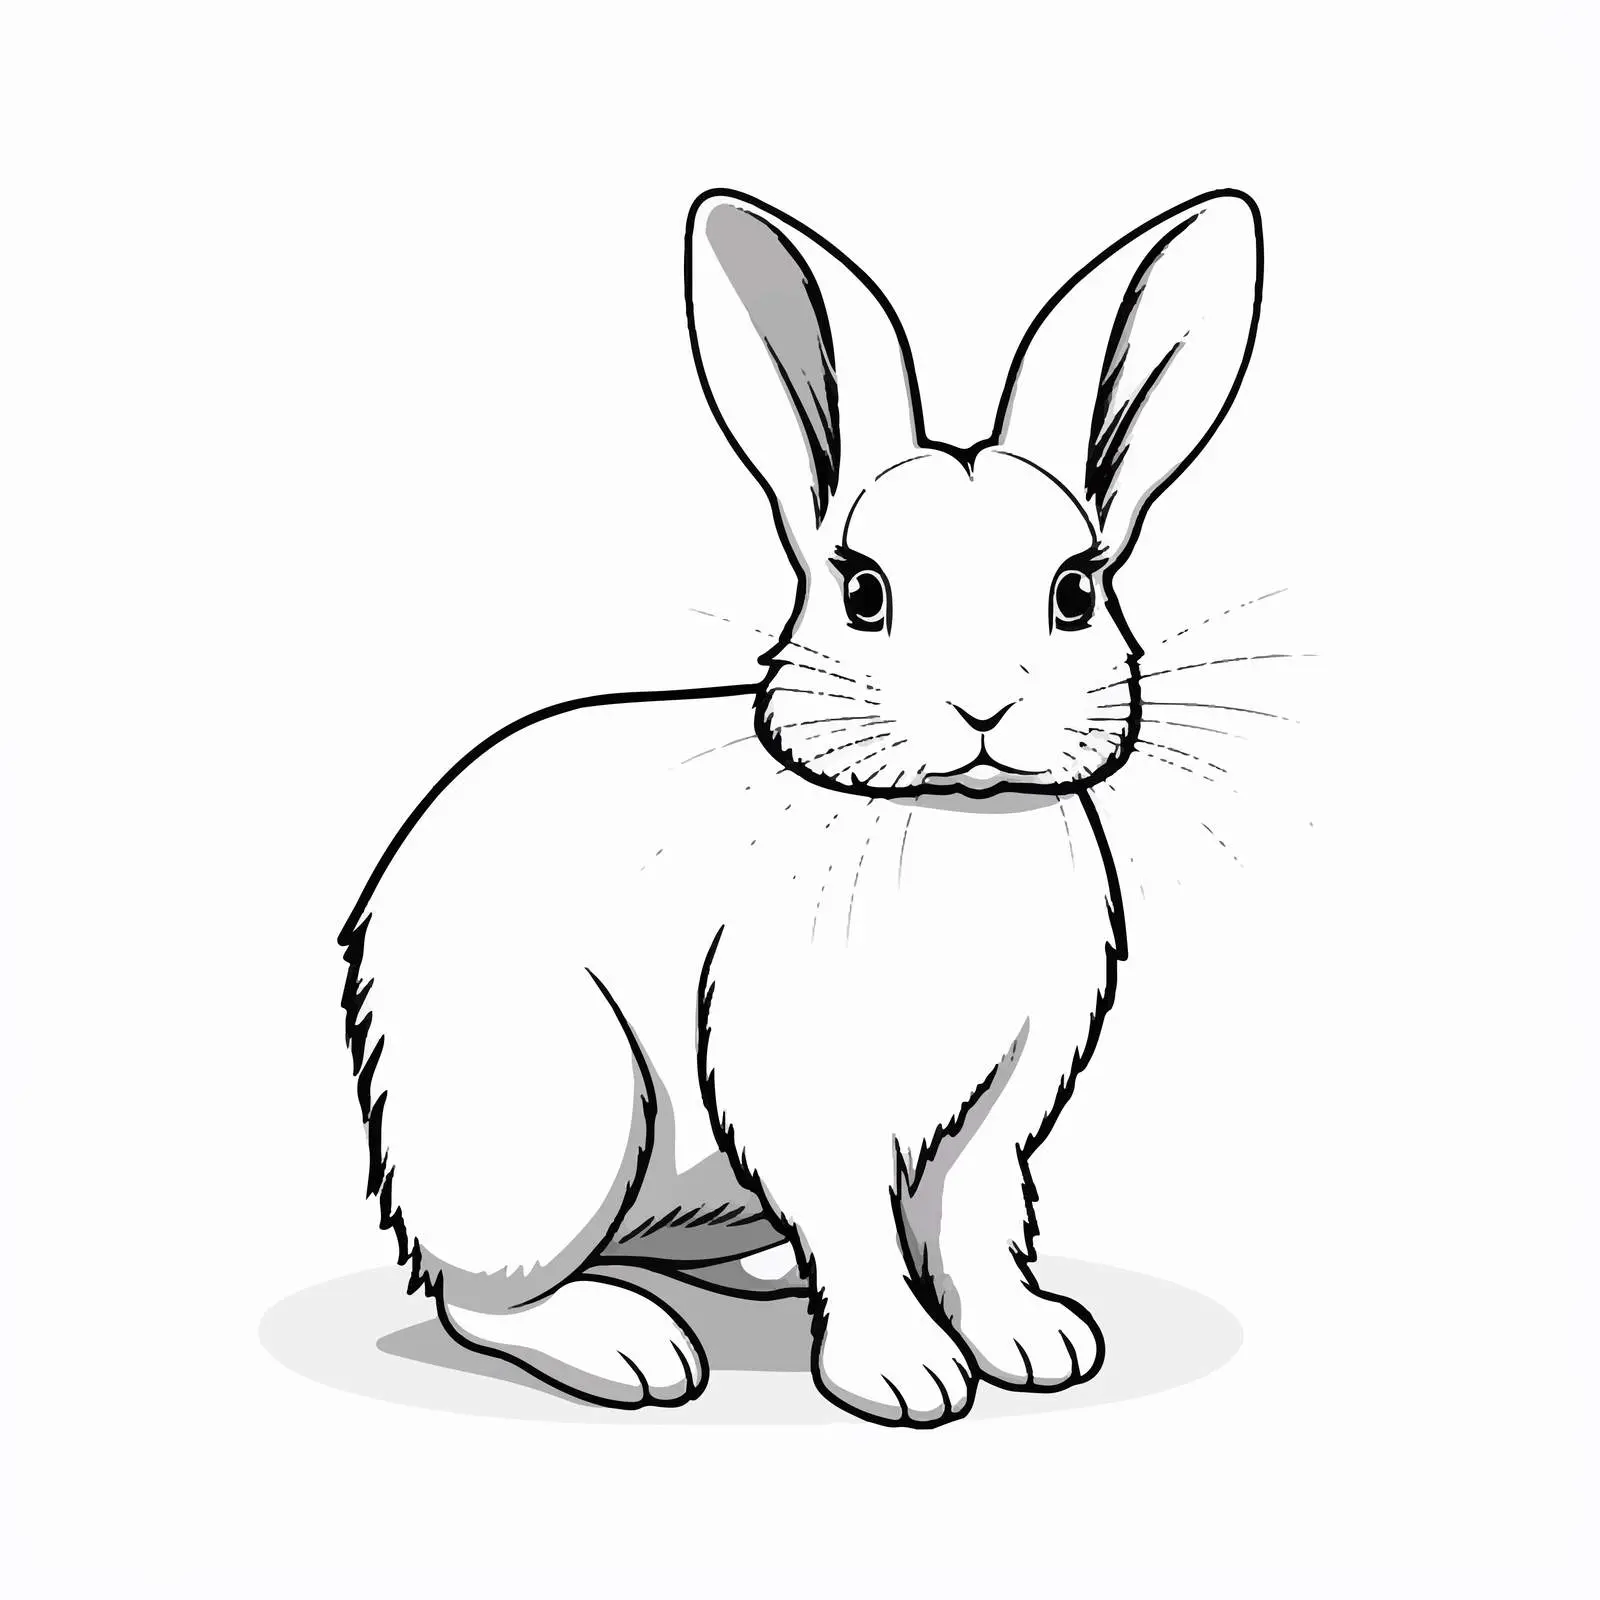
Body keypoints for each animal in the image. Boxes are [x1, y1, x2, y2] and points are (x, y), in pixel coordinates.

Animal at [339, 187, 1263, 1426]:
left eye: (1076, 590)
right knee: (480, 1297)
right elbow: (857, 1228)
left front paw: (1035, 1344)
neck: (956, 820)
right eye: (862, 590)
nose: (984, 704)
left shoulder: (1003, 1101)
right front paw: (907, 1376)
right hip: (561, 1128)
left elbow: (975, 1221)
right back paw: (634, 1347)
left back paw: (760, 1270)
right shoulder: (796, 1080)